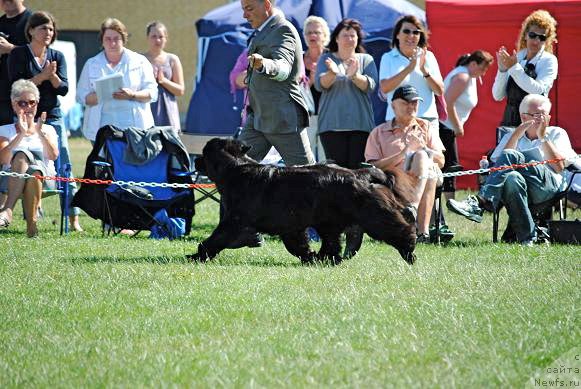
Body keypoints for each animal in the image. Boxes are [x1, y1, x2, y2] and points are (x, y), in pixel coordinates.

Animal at [190, 137, 416, 264]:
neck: (233, 170)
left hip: (372, 215)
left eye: (204, 153)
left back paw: (409, 251)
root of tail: (361, 173)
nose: (196, 160)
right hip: (329, 222)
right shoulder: (290, 226)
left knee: (396, 227)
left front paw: (196, 256)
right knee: (333, 242)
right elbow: (297, 245)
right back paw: (327, 259)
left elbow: (215, 239)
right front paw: (310, 257)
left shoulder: (234, 221)